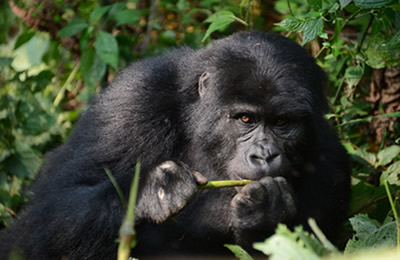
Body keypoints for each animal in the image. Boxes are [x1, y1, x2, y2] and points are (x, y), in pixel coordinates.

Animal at [0, 31, 350, 258]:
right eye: (245, 119)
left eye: (282, 123)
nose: (264, 155)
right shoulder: (134, 98)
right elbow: (53, 206)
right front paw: (153, 188)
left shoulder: (330, 160)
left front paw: (267, 214)